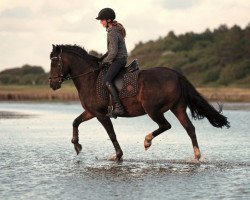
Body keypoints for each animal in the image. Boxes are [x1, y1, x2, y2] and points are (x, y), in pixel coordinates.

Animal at [49, 44, 230, 161]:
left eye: (55, 62)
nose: (52, 84)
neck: (90, 79)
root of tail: (176, 74)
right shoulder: (91, 112)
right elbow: (75, 122)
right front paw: (76, 145)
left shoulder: (101, 114)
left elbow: (111, 133)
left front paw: (118, 155)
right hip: (177, 108)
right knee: (190, 129)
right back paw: (197, 156)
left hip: (153, 109)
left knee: (166, 126)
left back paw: (147, 141)